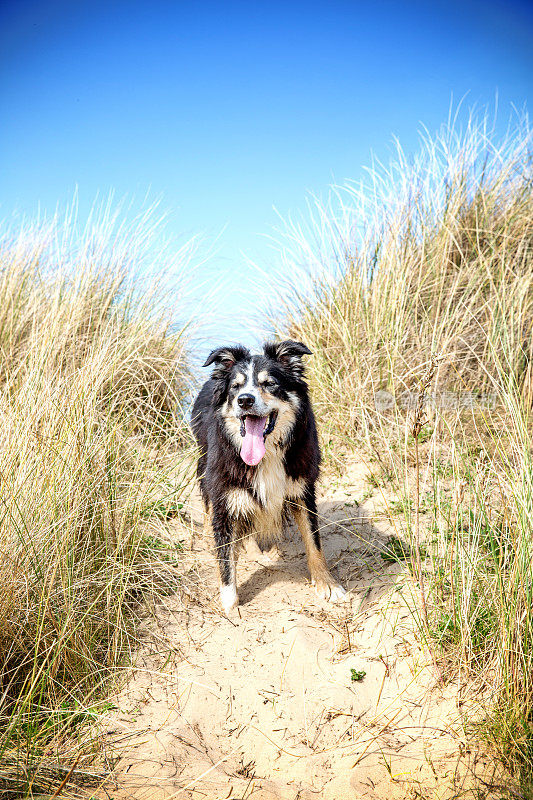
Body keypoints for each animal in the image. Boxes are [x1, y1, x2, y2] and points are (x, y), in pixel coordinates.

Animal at [190, 340, 344, 612]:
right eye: (236, 386)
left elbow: (313, 540)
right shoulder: (224, 492)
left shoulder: (302, 487)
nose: (245, 400)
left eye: (269, 383)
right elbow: (225, 557)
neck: (267, 452)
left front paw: (327, 583)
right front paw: (230, 604)